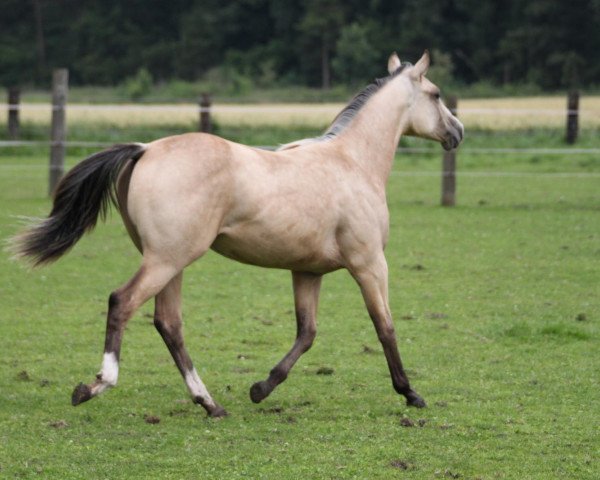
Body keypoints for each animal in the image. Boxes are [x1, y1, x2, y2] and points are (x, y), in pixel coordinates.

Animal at [11, 51, 466, 416]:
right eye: (437, 94)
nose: (458, 132)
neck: (352, 161)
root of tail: (146, 149)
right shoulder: (370, 263)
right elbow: (384, 325)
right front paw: (411, 394)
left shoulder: (308, 271)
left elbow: (307, 333)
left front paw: (261, 388)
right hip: (166, 260)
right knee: (122, 303)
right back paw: (96, 386)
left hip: (169, 262)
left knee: (168, 323)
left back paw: (210, 403)